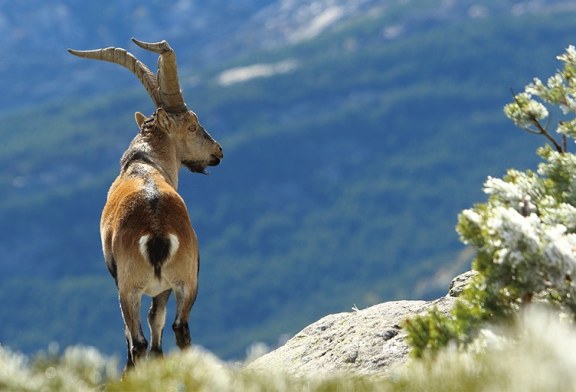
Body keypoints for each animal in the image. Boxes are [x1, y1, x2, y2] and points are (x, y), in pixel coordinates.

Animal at [66, 38, 222, 370]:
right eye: (192, 126)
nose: (218, 151)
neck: (144, 163)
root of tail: (157, 232)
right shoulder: (163, 287)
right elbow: (157, 319)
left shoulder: (123, 281)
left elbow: (136, 330)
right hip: (187, 279)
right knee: (178, 326)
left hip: (130, 287)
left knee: (136, 339)